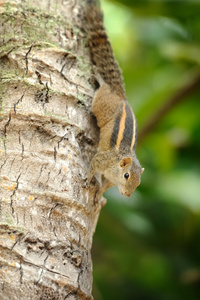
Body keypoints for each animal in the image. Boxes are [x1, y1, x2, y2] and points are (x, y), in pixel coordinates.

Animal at [84, 1, 144, 200]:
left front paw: (98, 195)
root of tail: (121, 97)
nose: (127, 195)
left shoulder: (110, 180)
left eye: (138, 183)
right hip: (102, 103)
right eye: (126, 175)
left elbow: (105, 186)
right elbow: (93, 165)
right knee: (103, 90)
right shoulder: (103, 160)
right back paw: (101, 80)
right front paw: (87, 179)